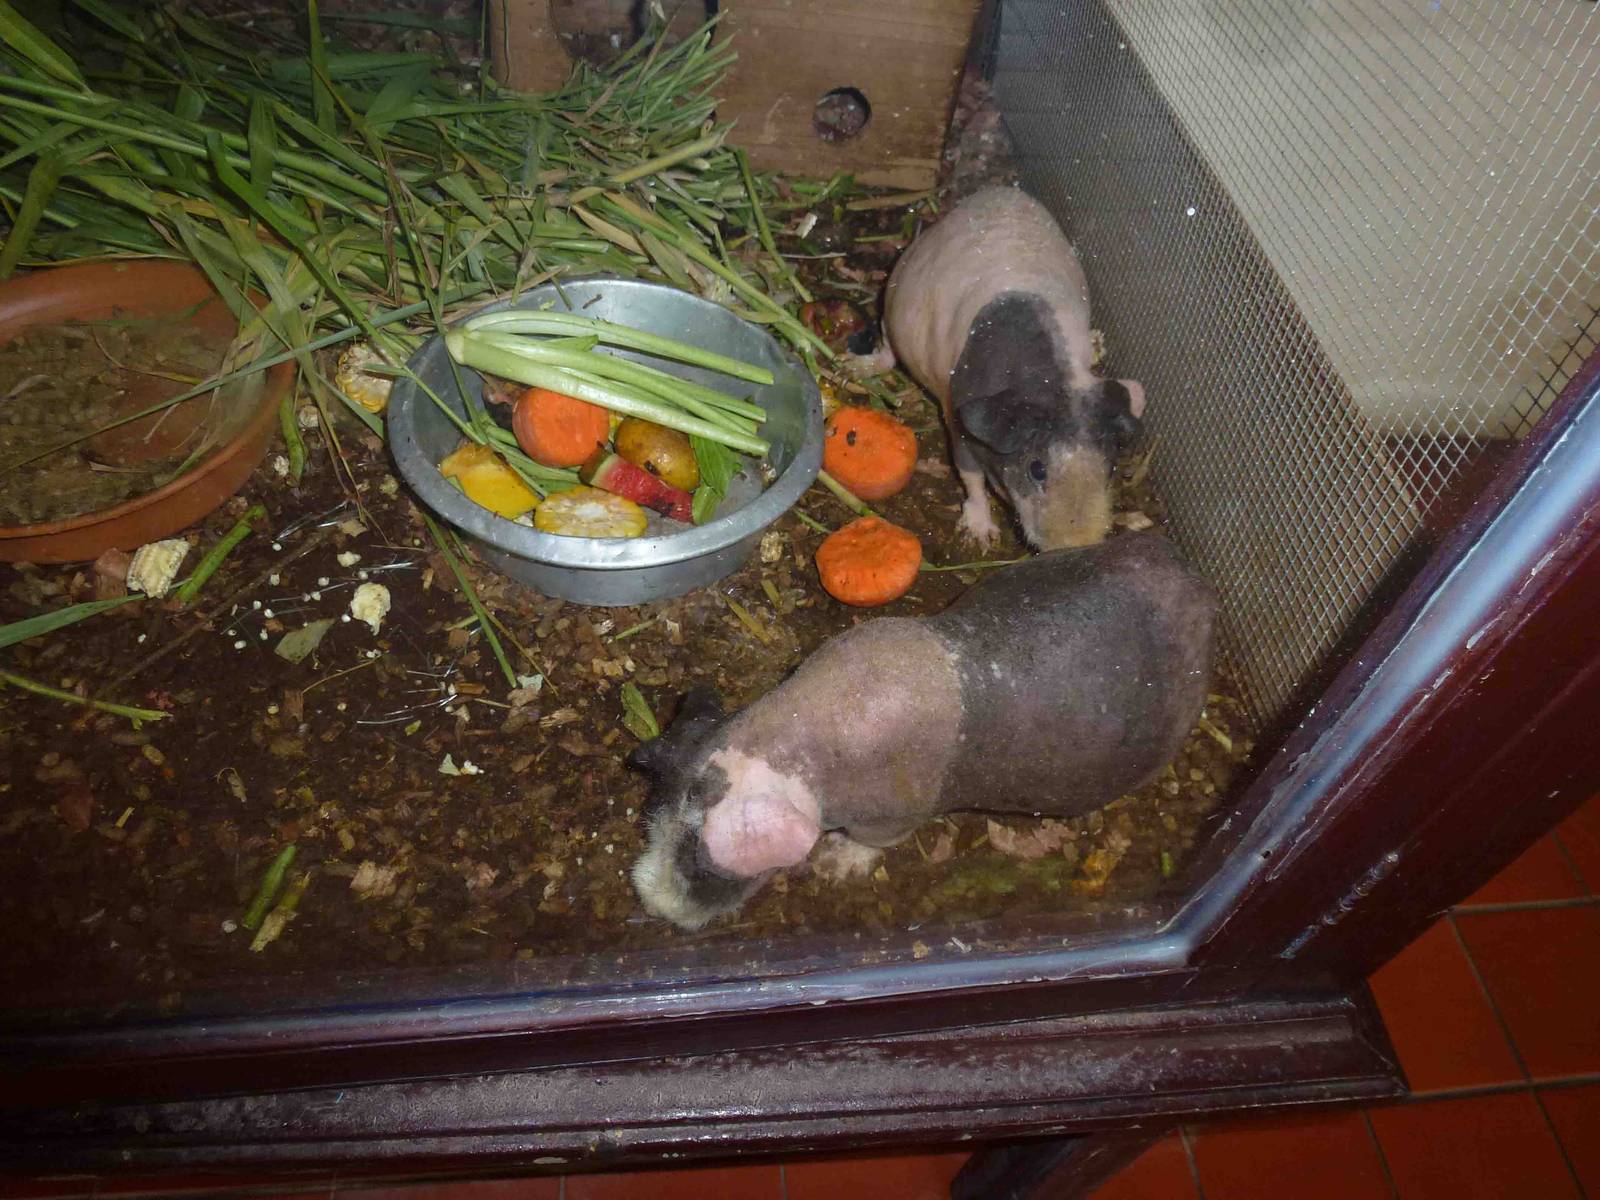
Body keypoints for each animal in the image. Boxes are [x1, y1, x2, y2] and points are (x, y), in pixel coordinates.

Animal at [629, 533, 1214, 930]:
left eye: (700, 864)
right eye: (653, 821)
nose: (651, 902)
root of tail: (1195, 584)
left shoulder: (896, 815)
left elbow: (874, 842)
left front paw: (835, 865)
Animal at [881, 185, 1145, 551]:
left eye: (1110, 470)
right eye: (1037, 469)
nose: (1075, 542)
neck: (1049, 381)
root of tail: (995, 190)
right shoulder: (958, 428)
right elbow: (971, 478)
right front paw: (981, 537)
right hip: (891, 312)